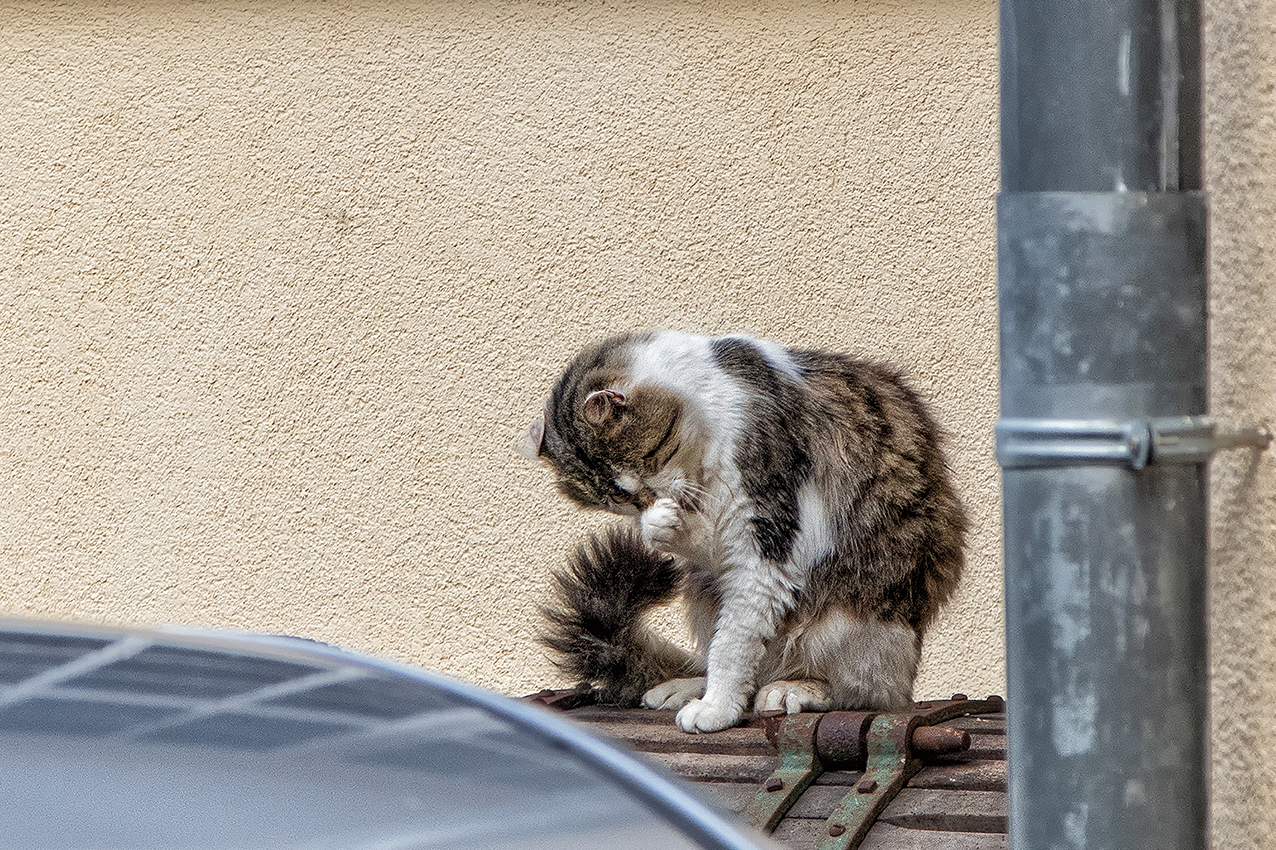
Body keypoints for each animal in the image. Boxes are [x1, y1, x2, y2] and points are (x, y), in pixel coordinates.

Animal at [523, 329, 959, 730]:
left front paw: (716, 708)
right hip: (704, 593)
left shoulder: (766, 541)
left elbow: (731, 647)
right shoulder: (731, 547)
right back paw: (685, 686)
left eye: (648, 463)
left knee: (863, 693)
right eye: (623, 501)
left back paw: (791, 689)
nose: (653, 502)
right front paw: (659, 524)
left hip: (853, 618)